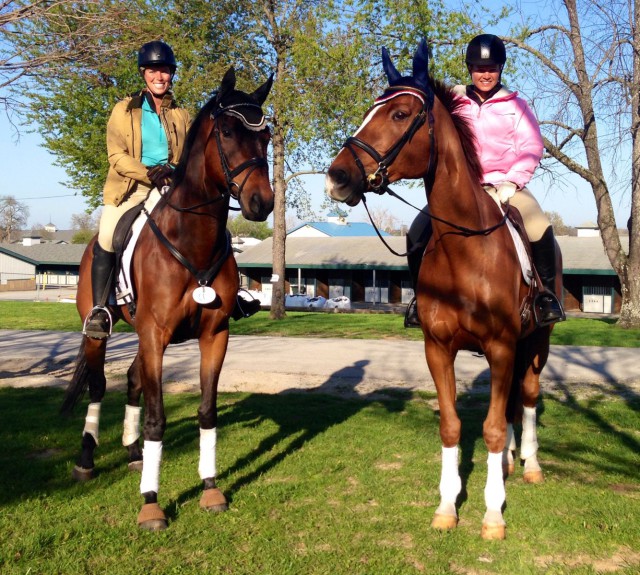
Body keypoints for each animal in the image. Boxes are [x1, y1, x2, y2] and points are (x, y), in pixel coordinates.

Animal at [61, 66, 276, 532]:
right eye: (227, 131)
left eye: (266, 135)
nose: (261, 203)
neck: (190, 239)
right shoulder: (156, 335)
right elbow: (158, 419)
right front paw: (151, 503)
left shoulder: (214, 335)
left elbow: (207, 412)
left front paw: (210, 488)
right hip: (102, 332)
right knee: (99, 385)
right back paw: (87, 459)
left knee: (133, 381)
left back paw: (132, 453)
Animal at [328, 40, 556, 540]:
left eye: (399, 114)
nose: (337, 177)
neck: (465, 249)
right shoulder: (438, 347)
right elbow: (453, 426)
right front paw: (448, 507)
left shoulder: (503, 346)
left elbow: (492, 427)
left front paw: (492, 516)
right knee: (510, 404)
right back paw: (507, 464)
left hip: (538, 341)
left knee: (528, 397)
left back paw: (529, 464)